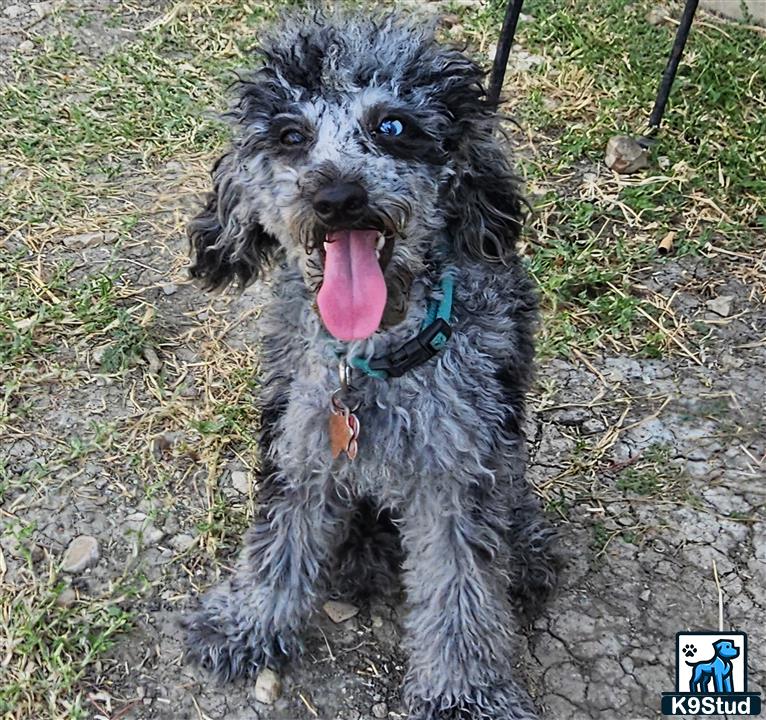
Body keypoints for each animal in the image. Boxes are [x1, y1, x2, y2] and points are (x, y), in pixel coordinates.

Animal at [184, 7, 560, 720]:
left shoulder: (456, 467)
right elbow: (278, 537)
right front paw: (250, 625)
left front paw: (464, 693)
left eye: (393, 126)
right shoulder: (298, 438)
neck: (371, 363)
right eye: (291, 135)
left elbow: (460, 585)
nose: (336, 195)